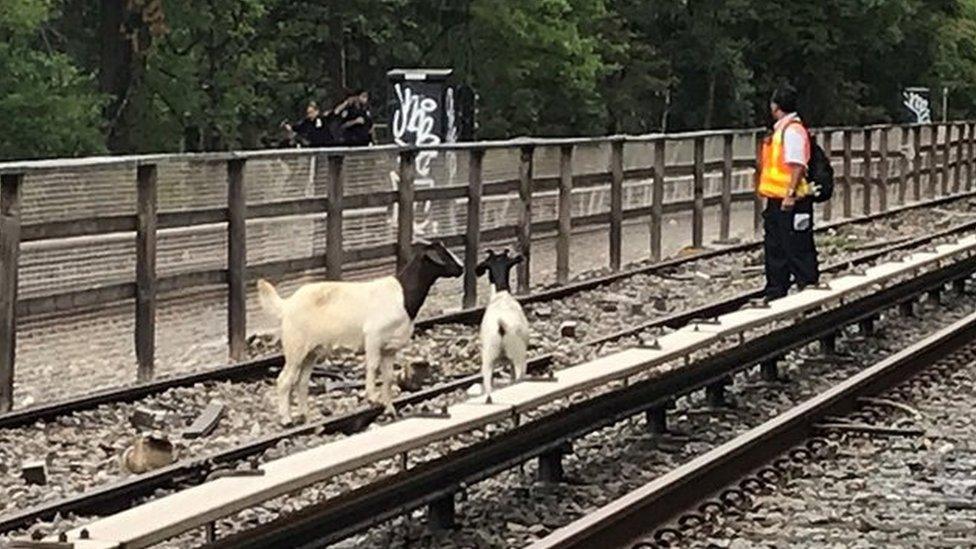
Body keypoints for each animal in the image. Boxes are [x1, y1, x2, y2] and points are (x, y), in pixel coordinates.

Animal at [255, 240, 462, 424]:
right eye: (443, 255)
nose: (461, 269)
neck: (403, 296)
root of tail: (287, 304)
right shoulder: (374, 337)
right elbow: (372, 366)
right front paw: (372, 398)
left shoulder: (390, 348)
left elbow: (388, 378)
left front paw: (390, 410)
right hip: (295, 347)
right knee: (284, 380)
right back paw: (286, 420)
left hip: (311, 352)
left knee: (302, 382)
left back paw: (305, 417)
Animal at [476, 249, 528, 402]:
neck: (501, 295)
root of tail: (501, 326)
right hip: (518, 357)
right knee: (518, 379)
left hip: (488, 359)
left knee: (488, 386)